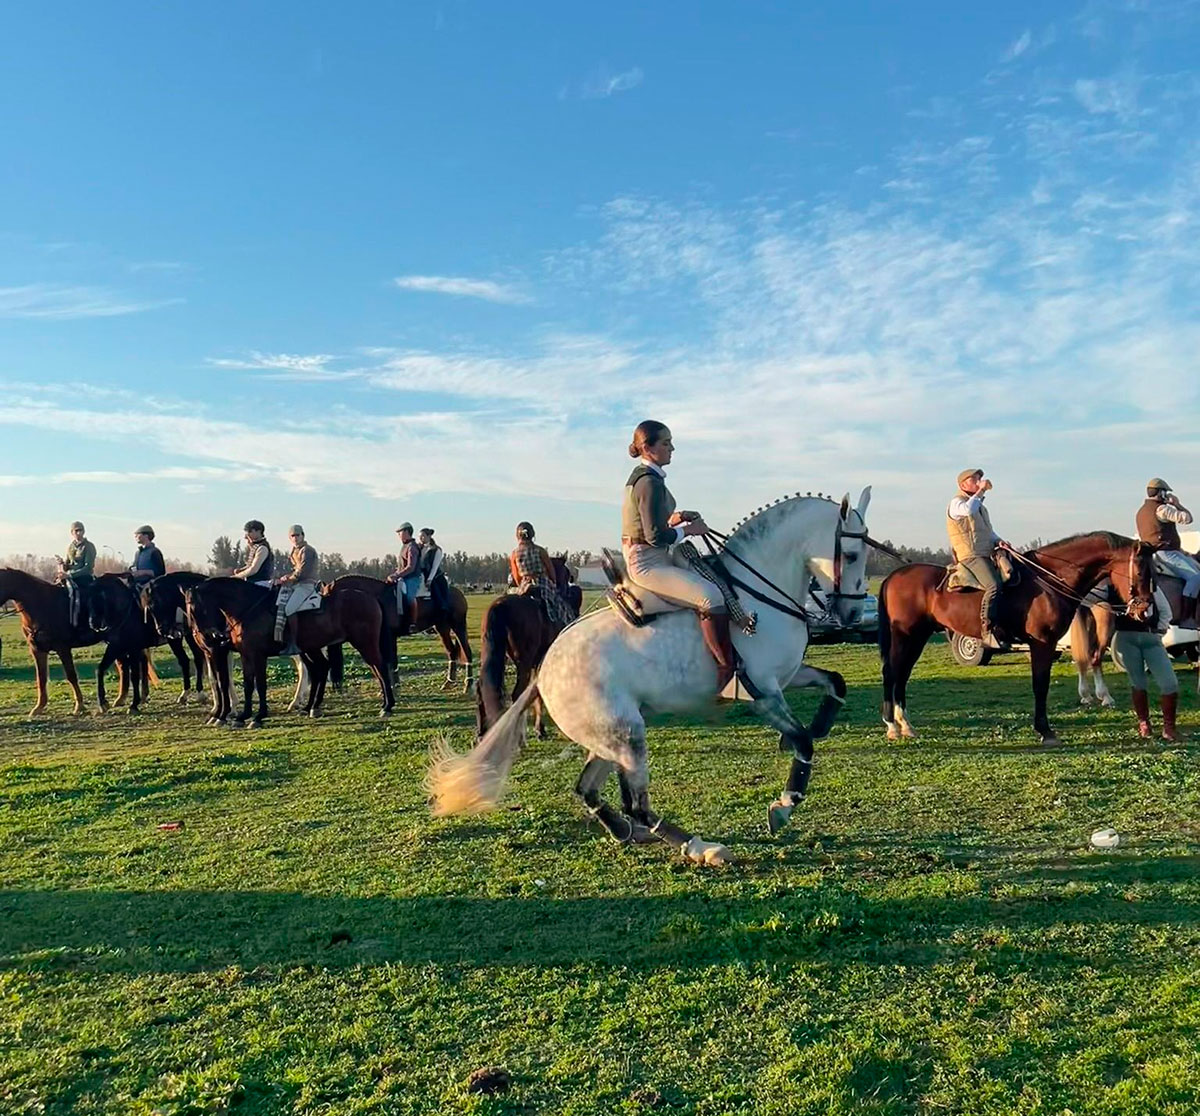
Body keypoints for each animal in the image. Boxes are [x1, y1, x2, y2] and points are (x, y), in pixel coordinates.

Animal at [0, 566, 112, 715]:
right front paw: (39, 707)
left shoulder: (62, 648)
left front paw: (79, 706)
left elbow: (71, 675)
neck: (42, 605)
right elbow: (41, 677)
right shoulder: (37, 649)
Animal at [883, 532, 1152, 744]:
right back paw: (893, 725)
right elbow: (1040, 685)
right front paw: (1045, 730)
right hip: (905, 636)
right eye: (1141, 571)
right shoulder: (1043, 644)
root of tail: (894, 576)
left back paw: (905, 725)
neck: (1050, 581)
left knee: (902, 675)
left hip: (918, 637)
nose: (1144, 610)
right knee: (892, 673)